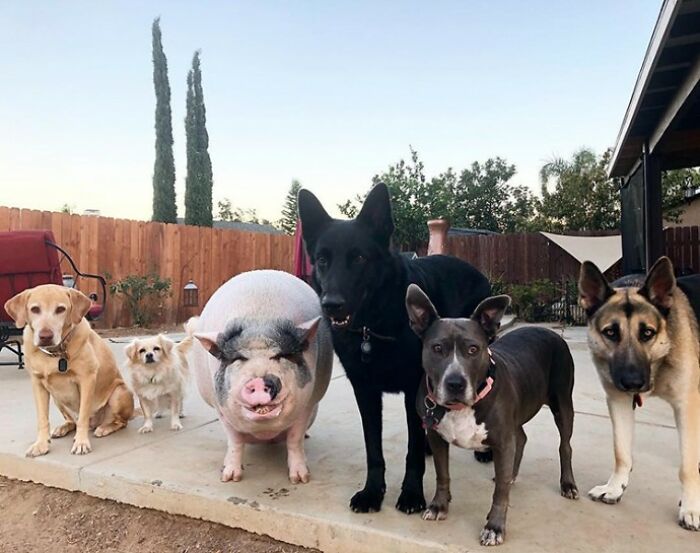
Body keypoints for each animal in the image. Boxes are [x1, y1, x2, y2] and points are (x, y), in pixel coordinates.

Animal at [5, 282, 134, 454]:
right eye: (35, 309)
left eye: (60, 309)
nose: (45, 336)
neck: (54, 353)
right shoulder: (38, 384)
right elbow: (42, 419)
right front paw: (41, 444)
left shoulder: (87, 379)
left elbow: (83, 415)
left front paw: (81, 442)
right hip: (57, 397)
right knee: (72, 421)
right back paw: (63, 427)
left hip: (119, 393)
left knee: (119, 422)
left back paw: (104, 427)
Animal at [189, 270, 334, 480]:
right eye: (238, 358)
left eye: (282, 355)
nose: (259, 381)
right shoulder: (220, 407)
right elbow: (235, 441)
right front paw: (229, 478)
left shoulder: (309, 402)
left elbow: (294, 439)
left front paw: (300, 479)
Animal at [404, 286, 580, 544]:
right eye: (437, 348)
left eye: (473, 349)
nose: (455, 383)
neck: (461, 408)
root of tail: (549, 330)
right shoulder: (436, 437)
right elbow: (442, 474)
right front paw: (439, 506)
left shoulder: (503, 442)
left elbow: (500, 494)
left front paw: (494, 527)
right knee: (522, 438)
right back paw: (511, 475)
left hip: (563, 404)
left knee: (565, 446)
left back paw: (567, 484)